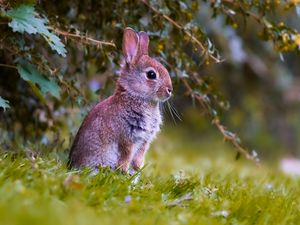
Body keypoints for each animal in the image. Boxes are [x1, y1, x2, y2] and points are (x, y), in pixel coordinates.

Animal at [67, 27, 171, 173]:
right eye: (151, 74)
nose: (170, 90)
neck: (135, 96)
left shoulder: (144, 141)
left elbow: (139, 156)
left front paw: (137, 169)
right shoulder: (127, 138)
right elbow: (126, 154)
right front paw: (124, 170)